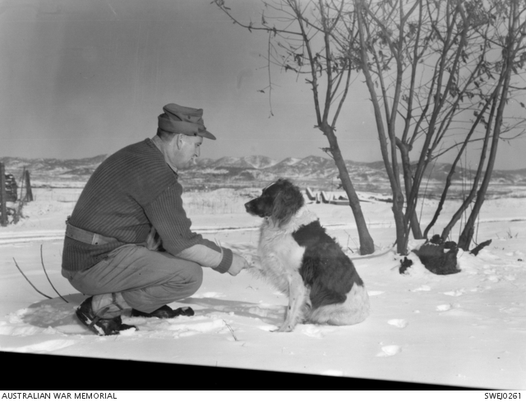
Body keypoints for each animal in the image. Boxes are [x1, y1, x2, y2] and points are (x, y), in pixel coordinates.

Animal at [244, 179, 372, 332]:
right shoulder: (271, 264)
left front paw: (283, 331)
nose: (246, 205)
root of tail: (367, 312)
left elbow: (291, 309)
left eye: (268, 195)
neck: (286, 225)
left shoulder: (297, 279)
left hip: (325, 312)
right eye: (262, 192)